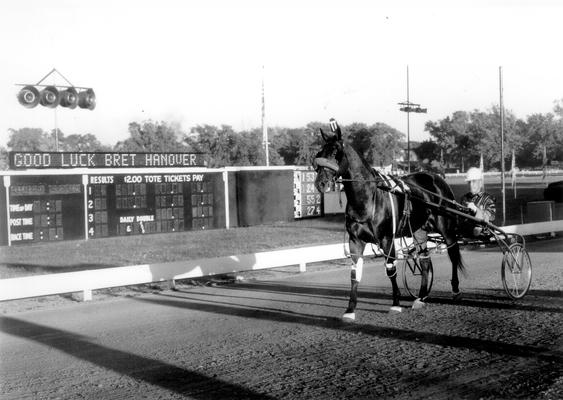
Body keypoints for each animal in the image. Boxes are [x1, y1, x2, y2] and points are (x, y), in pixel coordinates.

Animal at [312, 119, 468, 322]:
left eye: (335, 152)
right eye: (319, 153)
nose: (320, 183)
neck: (368, 198)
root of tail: (436, 177)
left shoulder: (387, 239)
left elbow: (390, 269)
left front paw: (395, 304)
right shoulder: (356, 241)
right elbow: (354, 274)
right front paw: (350, 310)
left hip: (446, 228)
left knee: (453, 254)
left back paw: (455, 290)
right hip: (419, 231)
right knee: (425, 260)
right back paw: (420, 298)